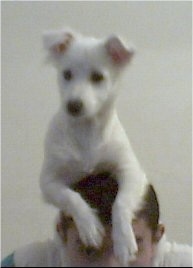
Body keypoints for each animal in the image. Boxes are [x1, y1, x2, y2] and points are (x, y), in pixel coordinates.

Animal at [40, 29, 149, 266]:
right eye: (67, 74)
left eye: (97, 77)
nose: (73, 106)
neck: (86, 131)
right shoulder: (48, 182)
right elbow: (71, 197)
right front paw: (89, 226)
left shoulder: (131, 170)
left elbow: (121, 203)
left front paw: (123, 240)